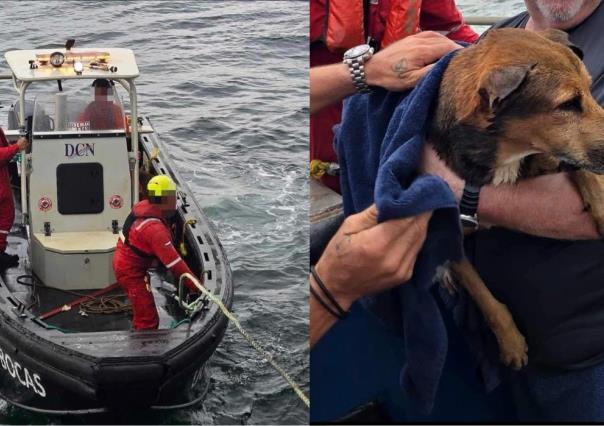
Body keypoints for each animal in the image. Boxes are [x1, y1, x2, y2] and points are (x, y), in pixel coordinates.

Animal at [428, 27, 604, 370]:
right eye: (568, 103)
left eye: (590, 91)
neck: (505, 155)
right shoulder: (452, 234)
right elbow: (484, 297)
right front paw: (511, 343)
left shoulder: (551, 156)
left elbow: (581, 168)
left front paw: (601, 205)